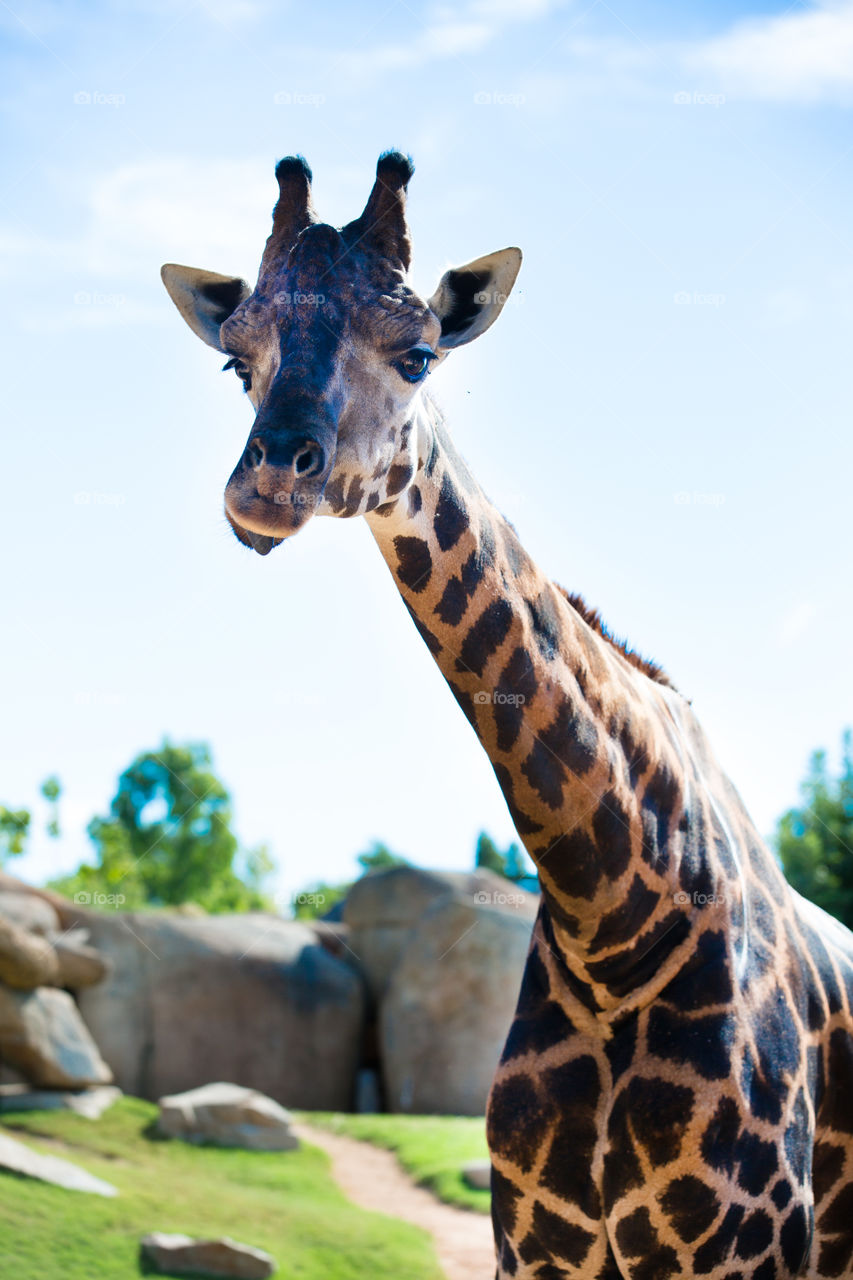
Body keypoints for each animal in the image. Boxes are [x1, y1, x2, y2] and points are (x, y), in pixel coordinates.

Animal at [163, 152, 850, 1280]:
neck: (610, 911)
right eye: (237, 360)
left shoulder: (740, 1251)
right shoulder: (535, 1248)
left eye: (419, 354)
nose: (264, 485)